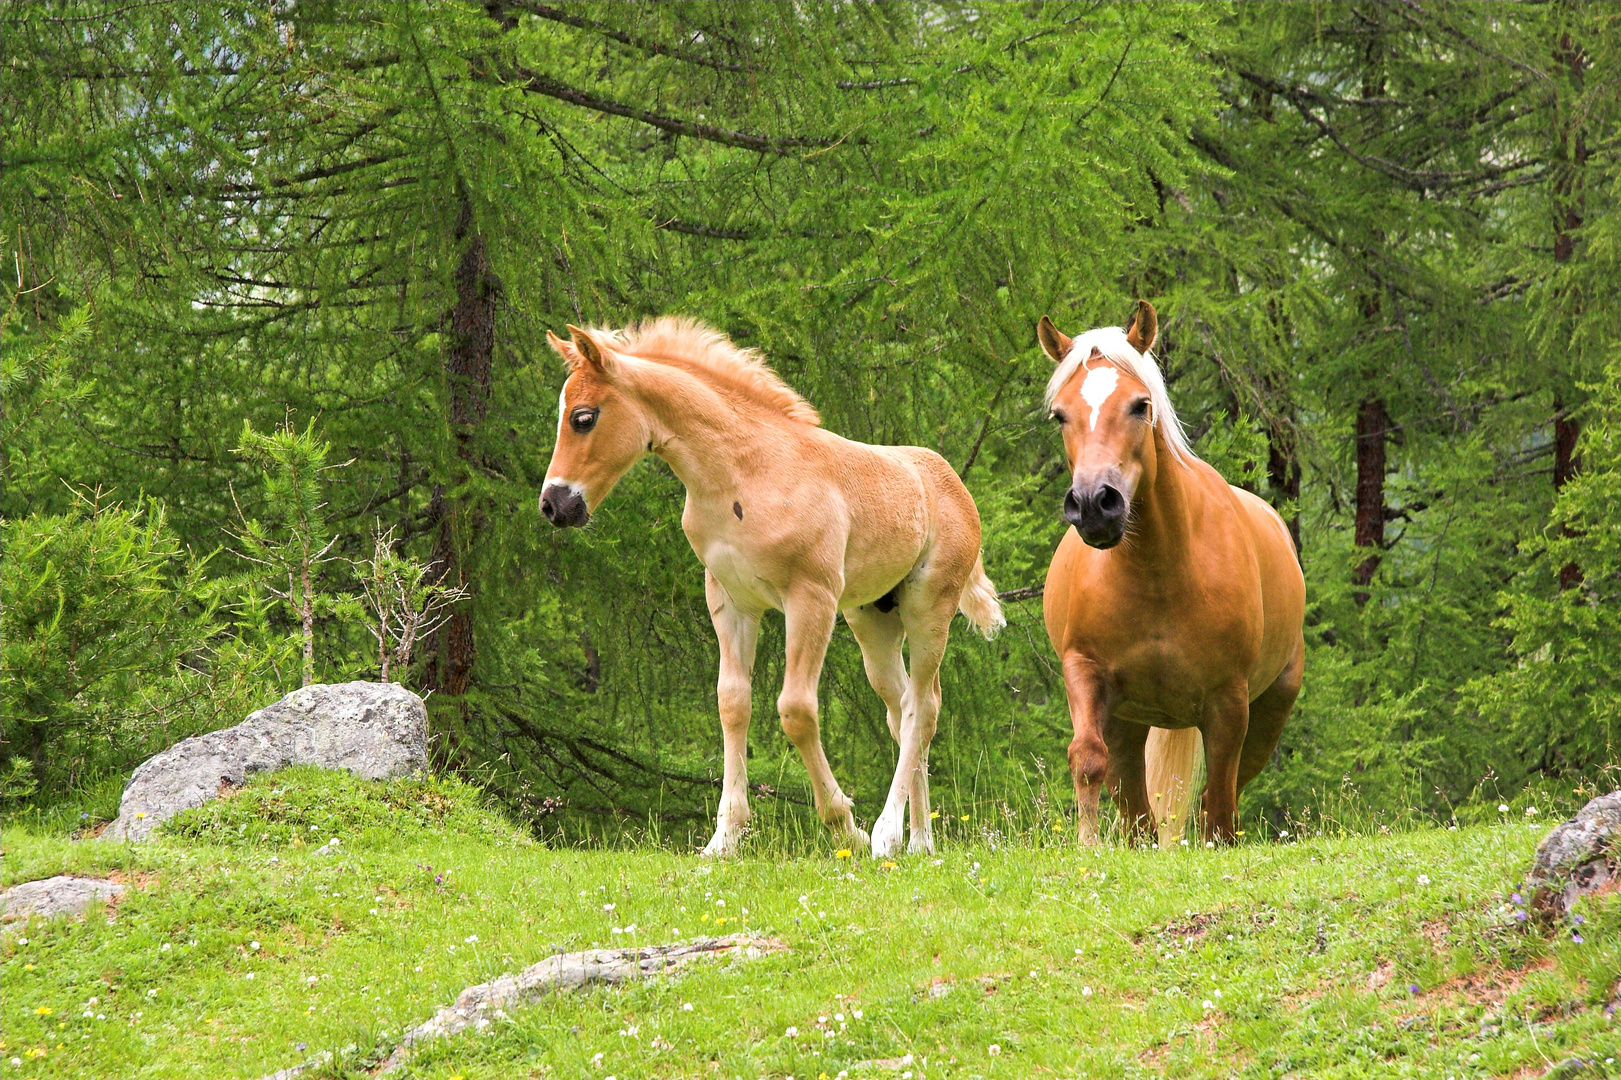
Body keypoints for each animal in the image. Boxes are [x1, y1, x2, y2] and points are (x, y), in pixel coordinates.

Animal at [538, 316, 1005, 856]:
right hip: (873, 620)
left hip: (929, 609)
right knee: (904, 709)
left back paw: (888, 835)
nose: (554, 504)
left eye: (583, 417)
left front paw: (844, 825)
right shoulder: (731, 601)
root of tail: (955, 486)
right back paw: (920, 842)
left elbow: (796, 710)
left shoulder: (811, 598)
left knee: (923, 709)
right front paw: (724, 839)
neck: (745, 473)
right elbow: (732, 704)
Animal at [1037, 300, 1303, 843]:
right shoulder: (1085, 673)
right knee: (1135, 811)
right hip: (1127, 721)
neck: (1158, 575)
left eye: (1140, 405)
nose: (1094, 504)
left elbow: (1218, 798)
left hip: (1269, 711)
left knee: (1226, 792)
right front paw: (1087, 845)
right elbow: (1086, 760)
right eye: (1060, 415)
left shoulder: (1228, 703)